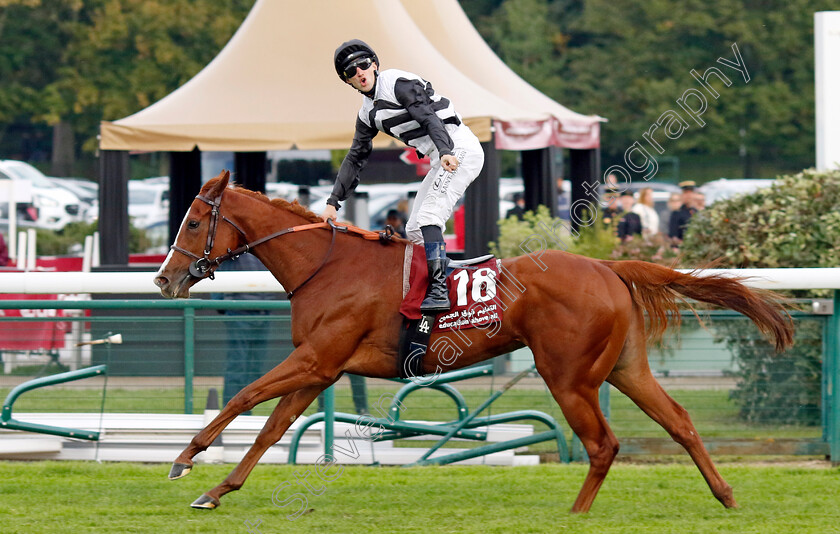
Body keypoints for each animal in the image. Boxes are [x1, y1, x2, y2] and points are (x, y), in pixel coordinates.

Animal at [154, 172, 792, 516]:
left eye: (192, 222)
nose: (163, 279)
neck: (325, 265)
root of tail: (608, 265)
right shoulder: (322, 368)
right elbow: (271, 427)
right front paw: (217, 489)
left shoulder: (316, 359)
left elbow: (243, 398)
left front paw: (185, 459)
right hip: (624, 369)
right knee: (679, 421)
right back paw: (726, 495)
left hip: (569, 376)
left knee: (603, 443)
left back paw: (575, 514)